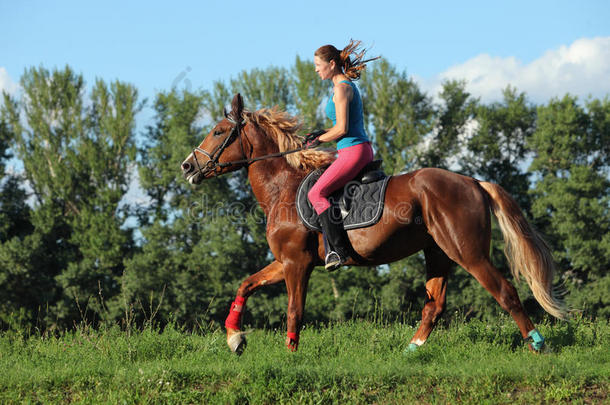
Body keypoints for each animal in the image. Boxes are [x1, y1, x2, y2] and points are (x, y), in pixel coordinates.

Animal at [180, 94, 564, 354]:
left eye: (219, 132)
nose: (187, 166)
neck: (282, 188)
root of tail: (472, 182)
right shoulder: (285, 262)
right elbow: (246, 285)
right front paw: (234, 337)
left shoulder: (296, 264)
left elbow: (294, 311)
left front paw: (290, 356)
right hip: (438, 253)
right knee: (435, 305)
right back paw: (411, 351)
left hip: (467, 252)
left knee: (505, 292)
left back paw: (538, 344)